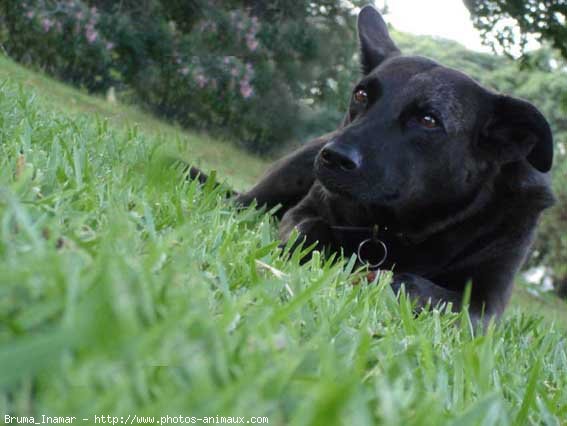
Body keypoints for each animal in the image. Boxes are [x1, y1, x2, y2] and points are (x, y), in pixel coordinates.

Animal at [191, 5, 556, 322]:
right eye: (361, 95)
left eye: (428, 120)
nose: (334, 157)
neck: (396, 228)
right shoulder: (305, 211)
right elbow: (309, 229)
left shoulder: (486, 305)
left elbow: (419, 289)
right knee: (243, 203)